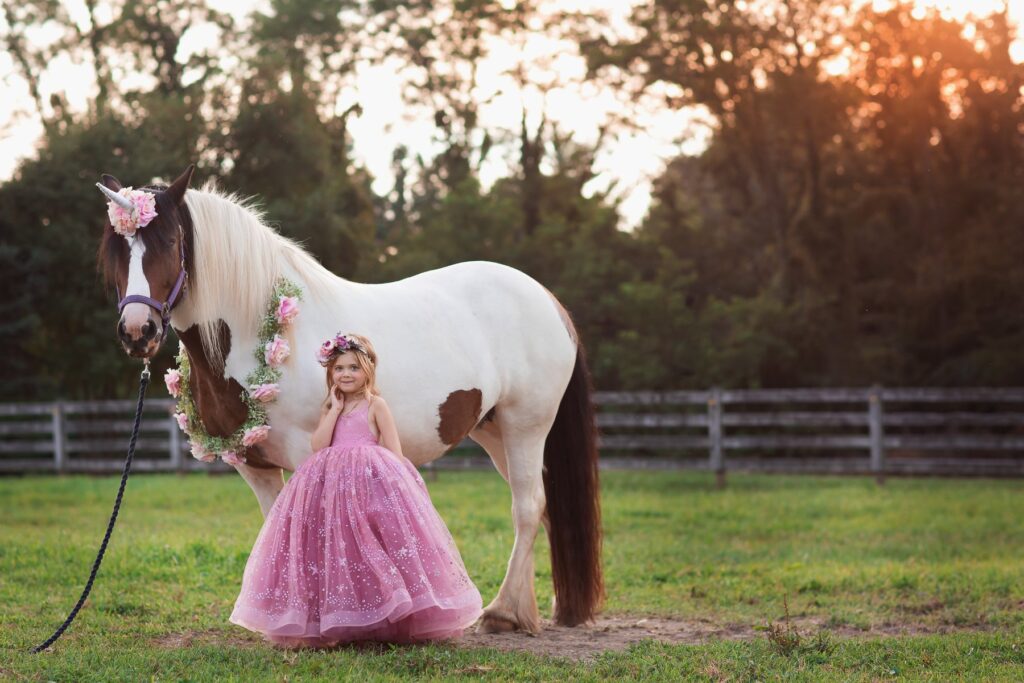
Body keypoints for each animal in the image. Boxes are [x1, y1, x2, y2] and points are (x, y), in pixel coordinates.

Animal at [96, 164, 602, 633]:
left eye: (168, 242)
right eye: (115, 250)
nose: (137, 331)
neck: (262, 326)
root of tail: (548, 300)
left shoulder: (307, 453)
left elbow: (312, 530)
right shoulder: (254, 464)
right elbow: (277, 530)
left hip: (525, 425)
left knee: (527, 507)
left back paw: (501, 613)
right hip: (493, 430)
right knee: (541, 508)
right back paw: (529, 612)